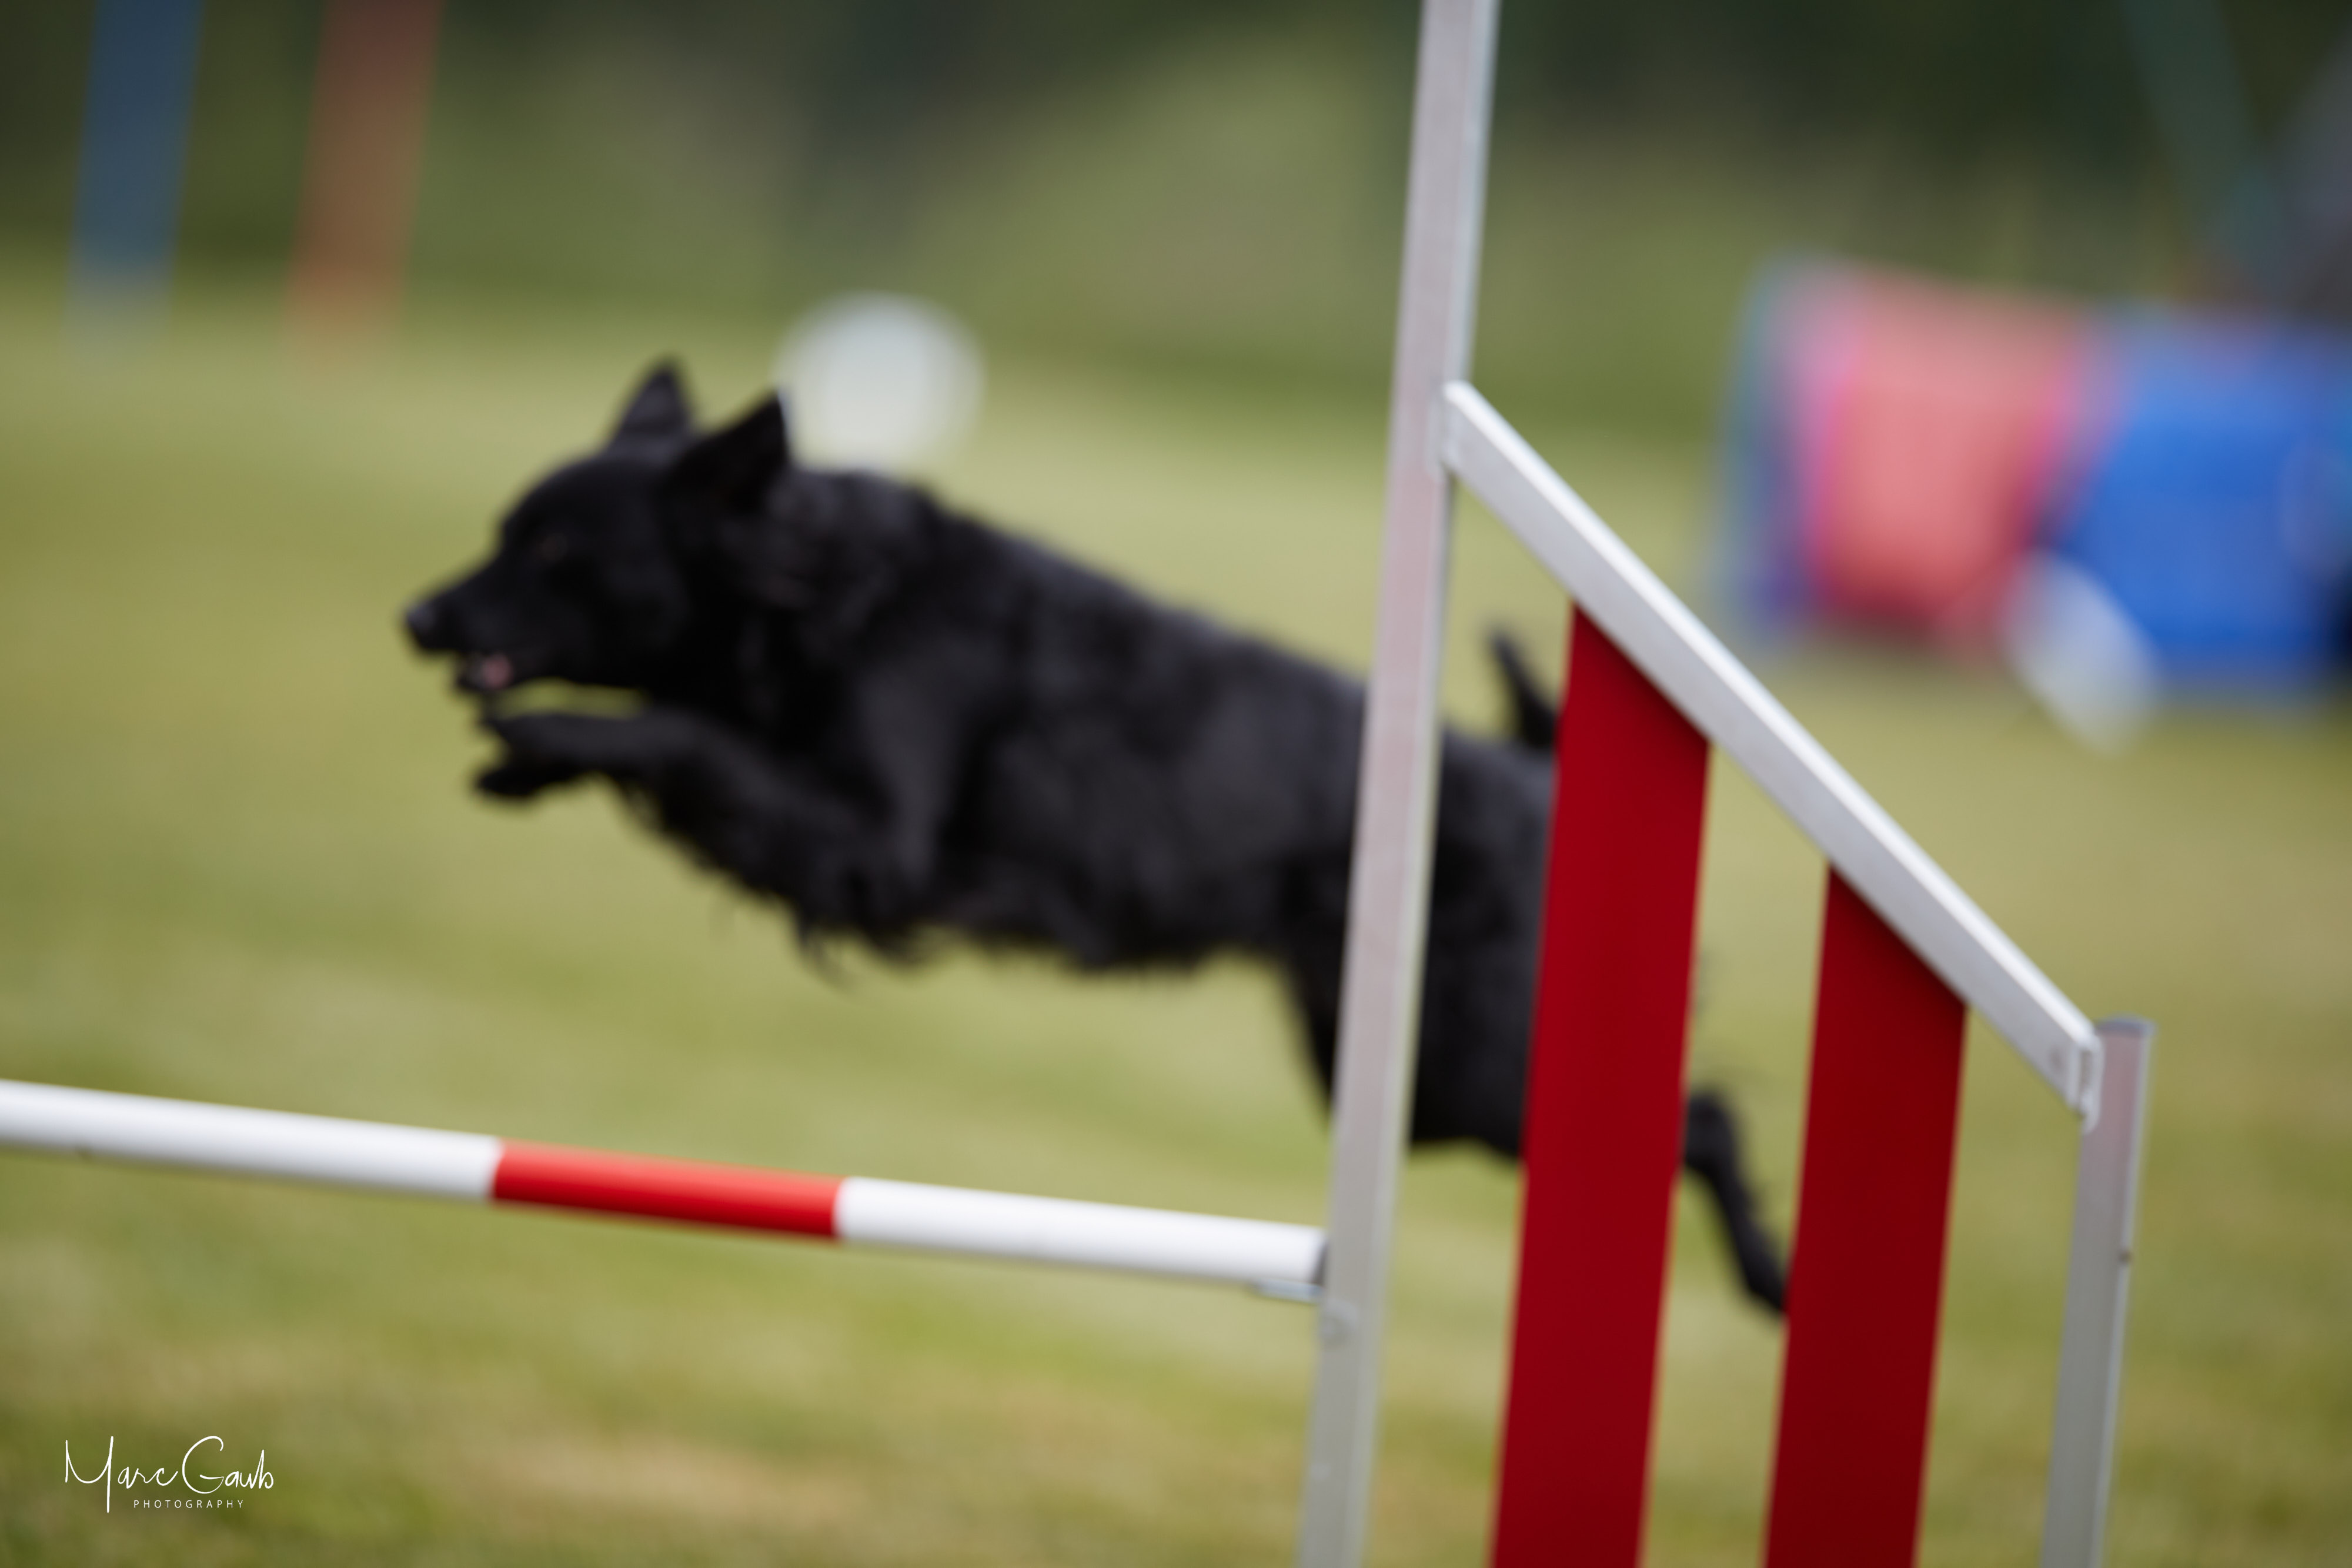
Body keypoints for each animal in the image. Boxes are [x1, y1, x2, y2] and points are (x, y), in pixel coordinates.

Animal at [404, 364, 1787, 1312]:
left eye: (555, 547)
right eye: (501, 527)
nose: (418, 615)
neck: (844, 594)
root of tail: (1529, 768)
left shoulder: (875, 843)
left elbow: (689, 735)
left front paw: (543, 734)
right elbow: (694, 737)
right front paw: (531, 764)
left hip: (1473, 1066)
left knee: (1709, 1117)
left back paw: (1771, 1278)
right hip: (1406, 1087)